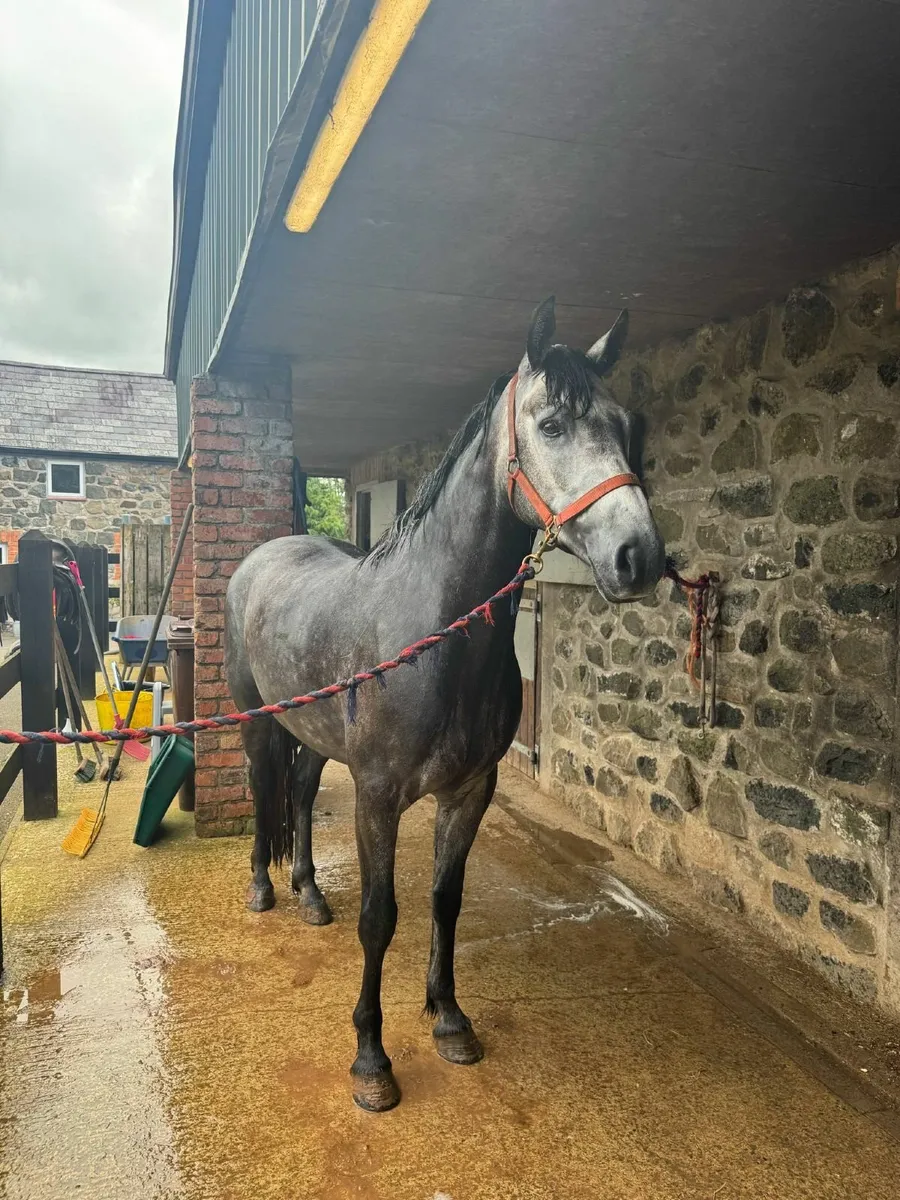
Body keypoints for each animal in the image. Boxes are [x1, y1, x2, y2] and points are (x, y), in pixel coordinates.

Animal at [224, 296, 665, 1111]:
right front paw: (371, 1059)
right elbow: (380, 918)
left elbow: (443, 901)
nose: (640, 557)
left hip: (317, 736)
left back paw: (309, 892)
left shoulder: (469, 792)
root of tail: (262, 558)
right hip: (259, 723)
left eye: (627, 425)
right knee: (268, 788)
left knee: (298, 793)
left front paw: (450, 1018)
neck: (434, 631)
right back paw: (265, 889)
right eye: (551, 424)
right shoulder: (377, 796)